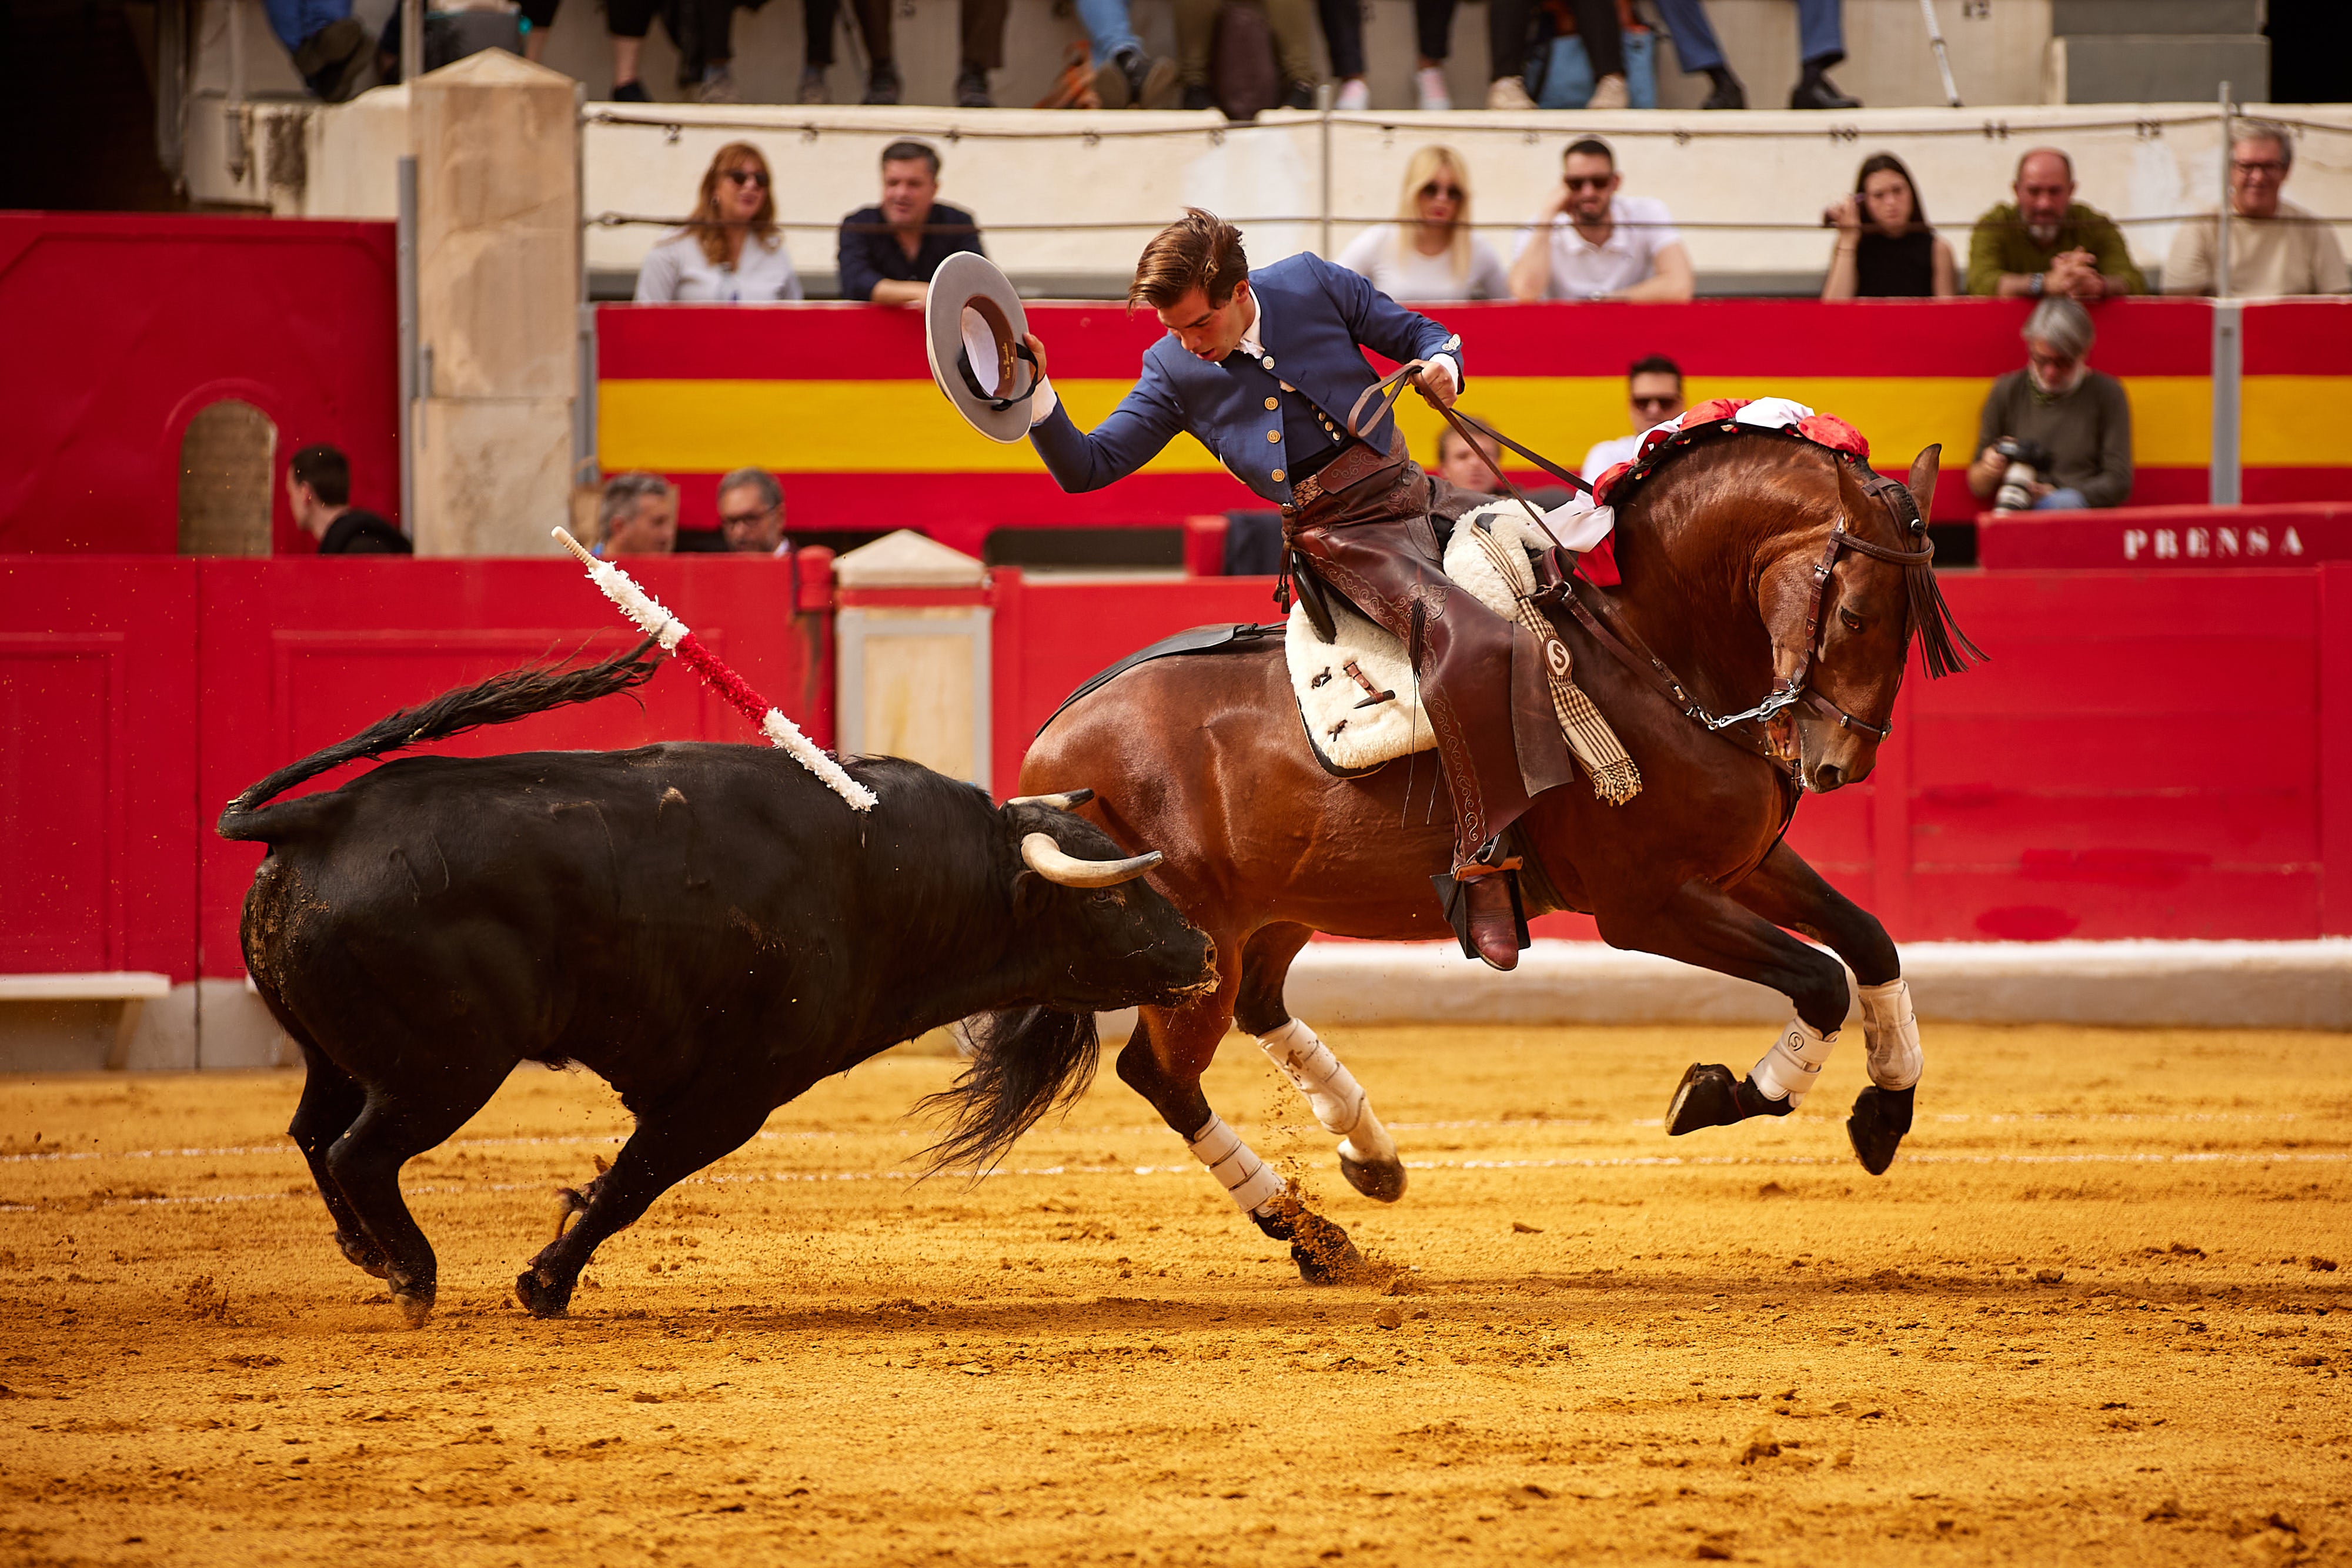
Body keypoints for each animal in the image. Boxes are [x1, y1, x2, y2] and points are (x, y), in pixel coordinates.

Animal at [221, 648, 1214, 1326]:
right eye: (1114, 891)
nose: (1201, 951)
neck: (891, 872)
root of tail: (314, 817)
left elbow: (627, 1177)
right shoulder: (734, 1092)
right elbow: (631, 1181)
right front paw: (544, 1282)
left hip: (343, 1053)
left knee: (312, 1132)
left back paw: (366, 1250)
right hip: (445, 1067)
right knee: (359, 1150)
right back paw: (413, 1273)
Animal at [978, 430, 1966, 1279]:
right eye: (1857, 612)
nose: (1840, 764)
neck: (1655, 652)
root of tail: (1047, 751)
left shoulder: (1742, 864)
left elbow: (1869, 939)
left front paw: (1887, 1108)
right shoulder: (1647, 904)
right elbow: (1820, 977)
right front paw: (1722, 1094)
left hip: (1281, 908)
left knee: (1260, 1008)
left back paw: (1369, 1153)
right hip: (1198, 939)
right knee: (1162, 1074)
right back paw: (1313, 1235)